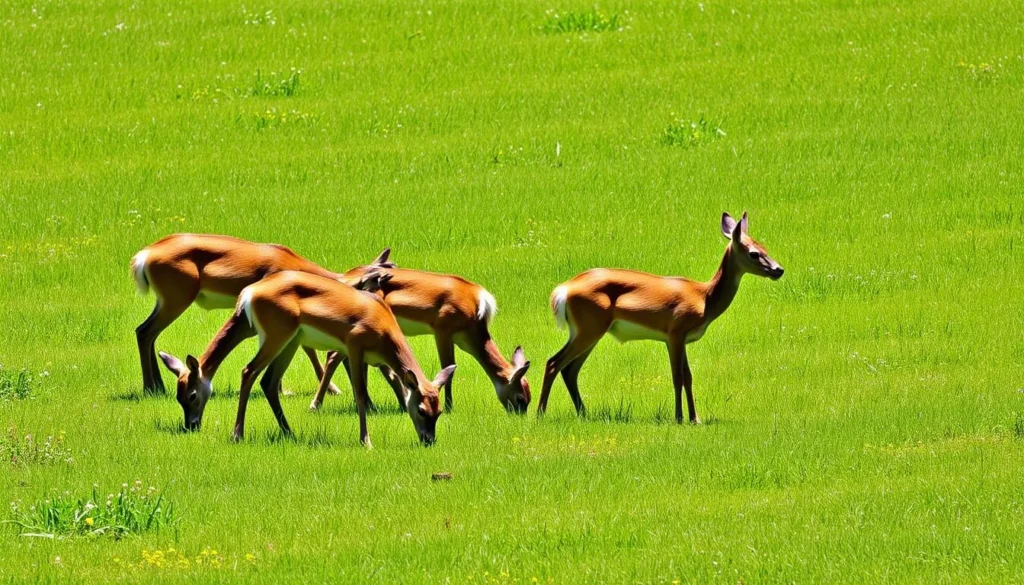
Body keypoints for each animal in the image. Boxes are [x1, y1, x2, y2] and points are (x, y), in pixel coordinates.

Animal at [130, 233, 393, 397]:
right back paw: (151, 387)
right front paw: (329, 389)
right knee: (145, 331)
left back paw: (157, 387)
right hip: (176, 300)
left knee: (146, 332)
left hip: (167, 301)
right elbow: (305, 348)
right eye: (373, 286)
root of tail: (144, 256)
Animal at [157, 270, 453, 447]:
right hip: (277, 336)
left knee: (268, 381)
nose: (429, 440)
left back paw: (289, 432)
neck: (383, 328)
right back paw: (238, 434)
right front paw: (366, 441)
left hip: (289, 342)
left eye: (438, 411)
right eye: (422, 410)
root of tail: (248, 294)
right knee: (249, 372)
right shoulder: (354, 345)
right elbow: (359, 394)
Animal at [308, 266, 531, 414]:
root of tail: (344, 279)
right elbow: (449, 367)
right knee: (333, 357)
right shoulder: (442, 331)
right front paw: (449, 407)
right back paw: (316, 404)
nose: (519, 416)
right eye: (520, 397)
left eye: (529, 397)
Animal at [535, 212, 784, 424]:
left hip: (588, 331)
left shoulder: (682, 339)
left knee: (570, 369)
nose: (778, 270)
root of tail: (563, 291)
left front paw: (695, 418)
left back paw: (583, 413)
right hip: (589, 328)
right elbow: (677, 376)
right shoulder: (675, 332)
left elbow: (688, 376)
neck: (704, 297)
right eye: (754, 253)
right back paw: (540, 414)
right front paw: (679, 418)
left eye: (765, 247)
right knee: (554, 363)